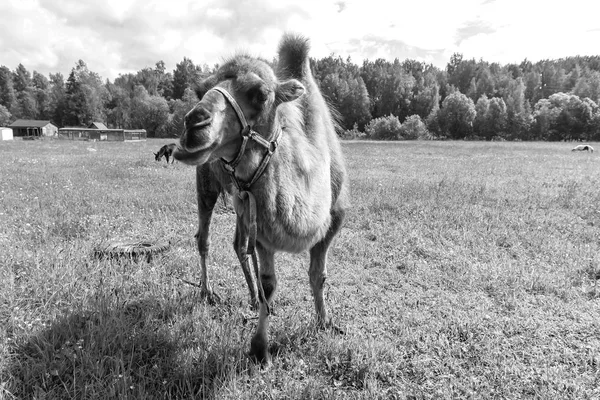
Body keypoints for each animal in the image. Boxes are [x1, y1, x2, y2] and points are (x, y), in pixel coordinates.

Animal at [172, 34, 346, 364]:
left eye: (261, 94)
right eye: (200, 90)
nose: (193, 124)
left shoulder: (335, 218)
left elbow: (318, 275)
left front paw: (325, 322)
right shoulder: (264, 230)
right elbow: (270, 284)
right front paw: (260, 348)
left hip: (243, 202)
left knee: (239, 244)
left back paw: (251, 298)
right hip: (208, 184)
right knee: (205, 238)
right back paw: (207, 292)